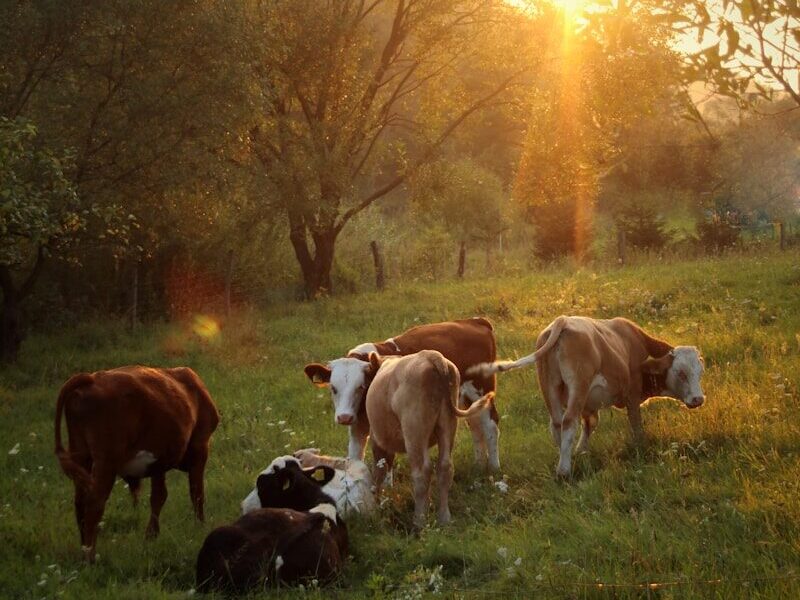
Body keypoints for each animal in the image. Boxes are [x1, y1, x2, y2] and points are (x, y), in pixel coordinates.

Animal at [54, 366, 220, 562]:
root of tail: (91, 378)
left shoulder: (159, 461)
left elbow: (159, 496)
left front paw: (151, 536)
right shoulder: (200, 447)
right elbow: (197, 493)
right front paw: (200, 527)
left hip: (81, 454)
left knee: (80, 501)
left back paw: (83, 549)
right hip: (106, 461)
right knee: (95, 502)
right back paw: (90, 556)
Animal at [303, 317, 501, 471]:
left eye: (361, 386)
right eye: (333, 388)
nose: (344, 417)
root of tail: (475, 321)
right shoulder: (357, 426)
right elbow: (355, 457)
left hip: (482, 389)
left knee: (490, 425)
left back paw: (494, 467)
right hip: (464, 399)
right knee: (475, 426)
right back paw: (479, 465)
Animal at [366, 350, 494, 528]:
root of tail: (432, 356)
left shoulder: (377, 440)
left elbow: (379, 472)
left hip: (414, 430)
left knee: (422, 472)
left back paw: (419, 521)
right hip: (447, 424)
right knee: (445, 467)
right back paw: (444, 518)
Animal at [469, 316, 705, 477]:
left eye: (700, 371)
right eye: (681, 373)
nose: (698, 399)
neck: (635, 342)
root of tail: (562, 320)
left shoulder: (589, 404)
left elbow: (591, 423)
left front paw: (581, 451)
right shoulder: (632, 394)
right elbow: (635, 424)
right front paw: (640, 446)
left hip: (550, 387)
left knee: (557, 424)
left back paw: (563, 458)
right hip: (578, 386)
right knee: (568, 422)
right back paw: (564, 471)